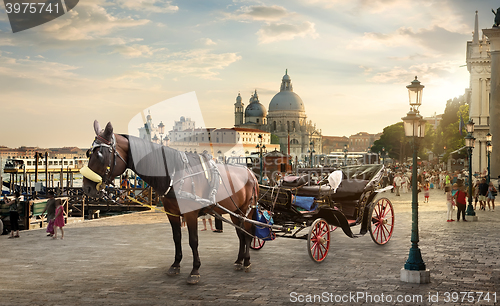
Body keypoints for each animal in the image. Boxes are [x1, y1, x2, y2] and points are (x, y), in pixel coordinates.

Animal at [81, 120, 258, 284]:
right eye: (88, 153)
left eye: (100, 155)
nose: (86, 188)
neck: (175, 174)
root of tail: (251, 174)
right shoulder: (172, 213)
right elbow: (176, 238)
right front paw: (175, 265)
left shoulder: (190, 214)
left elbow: (193, 240)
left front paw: (195, 271)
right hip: (235, 212)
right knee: (241, 234)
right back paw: (239, 261)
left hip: (245, 210)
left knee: (248, 233)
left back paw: (247, 261)